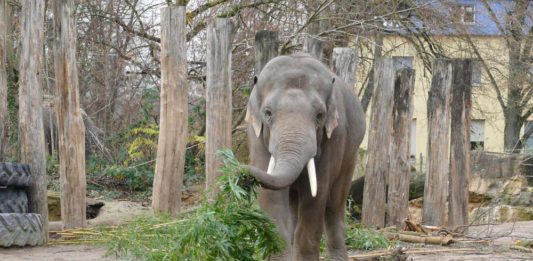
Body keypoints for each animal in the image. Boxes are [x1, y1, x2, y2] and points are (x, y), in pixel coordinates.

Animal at [244, 53, 366, 260]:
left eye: (320, 115)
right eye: (267, 113)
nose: (241, 174)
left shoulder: (334, 138)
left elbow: (315, 196)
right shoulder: (256, 136)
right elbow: (272, 198)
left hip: (350, 156)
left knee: (334, 206)